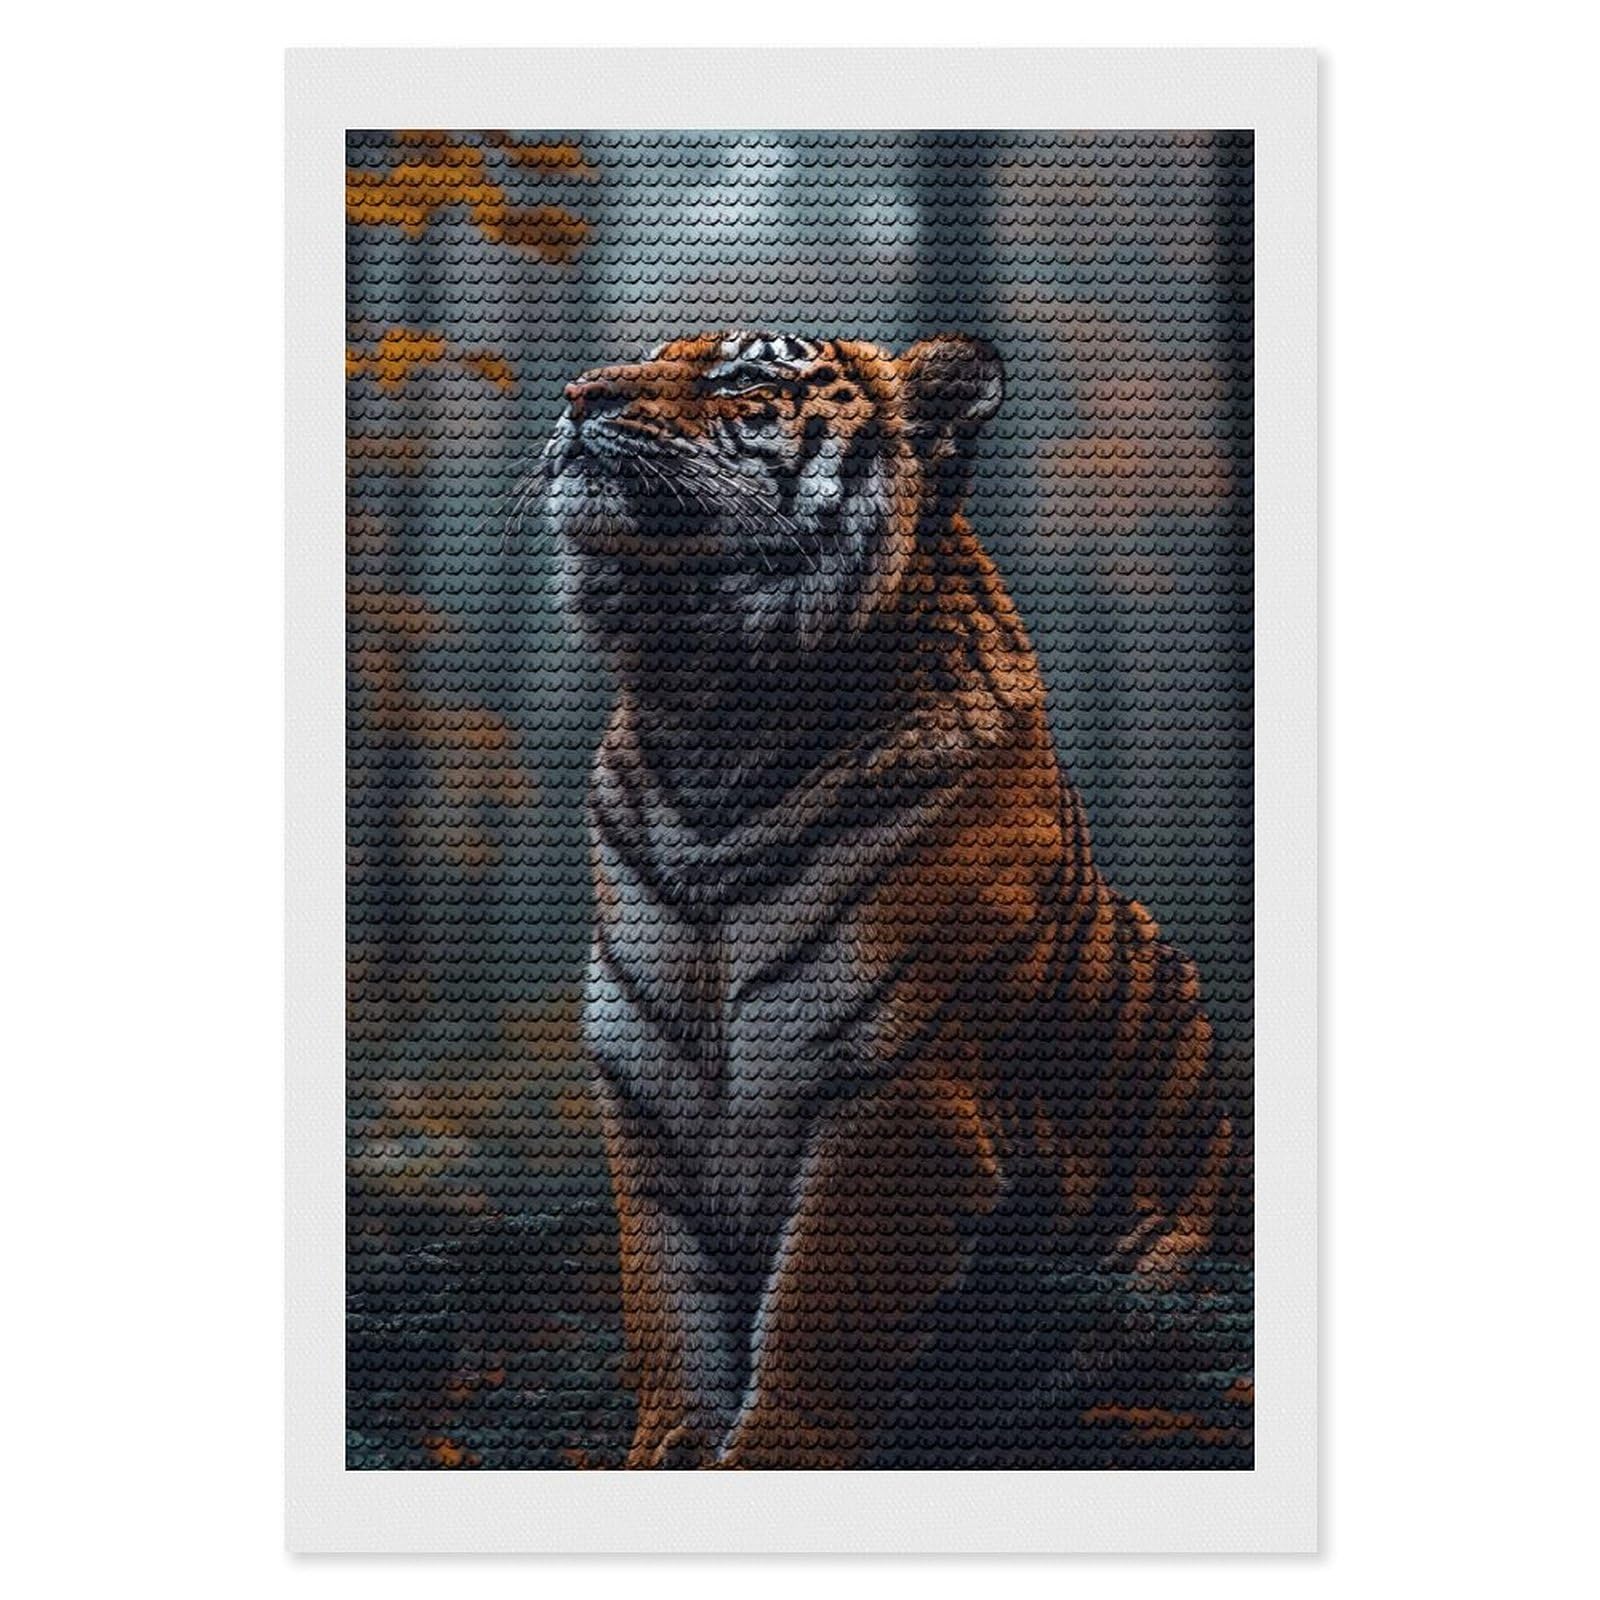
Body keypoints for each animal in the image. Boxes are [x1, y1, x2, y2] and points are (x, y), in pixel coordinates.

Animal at [543, 331, 1241, 1469]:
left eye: (743, 379)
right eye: (648, 354)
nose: (577, 394)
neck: (706, 708)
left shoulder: (903, 1088)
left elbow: (817, 1317)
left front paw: (768, 1459)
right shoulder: (645, 1088)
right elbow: (668, 1310)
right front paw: (667, 1453)